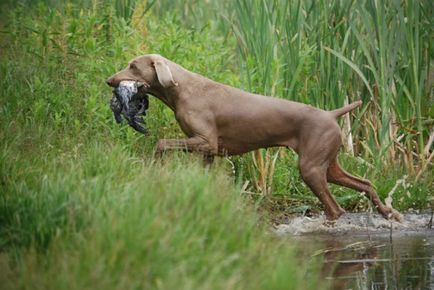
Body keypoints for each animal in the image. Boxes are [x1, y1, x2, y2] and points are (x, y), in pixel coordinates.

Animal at [107, 54, 402, 221]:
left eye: (133, 66)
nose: (109, 80)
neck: (182, 89)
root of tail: (331, 114)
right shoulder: (208, 152)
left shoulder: (206, 141)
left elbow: (161, 142)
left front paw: (155, 162)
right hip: (328, 166)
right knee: (364, 182)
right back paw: (387, 212)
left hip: (310, 167)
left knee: (335, 209)